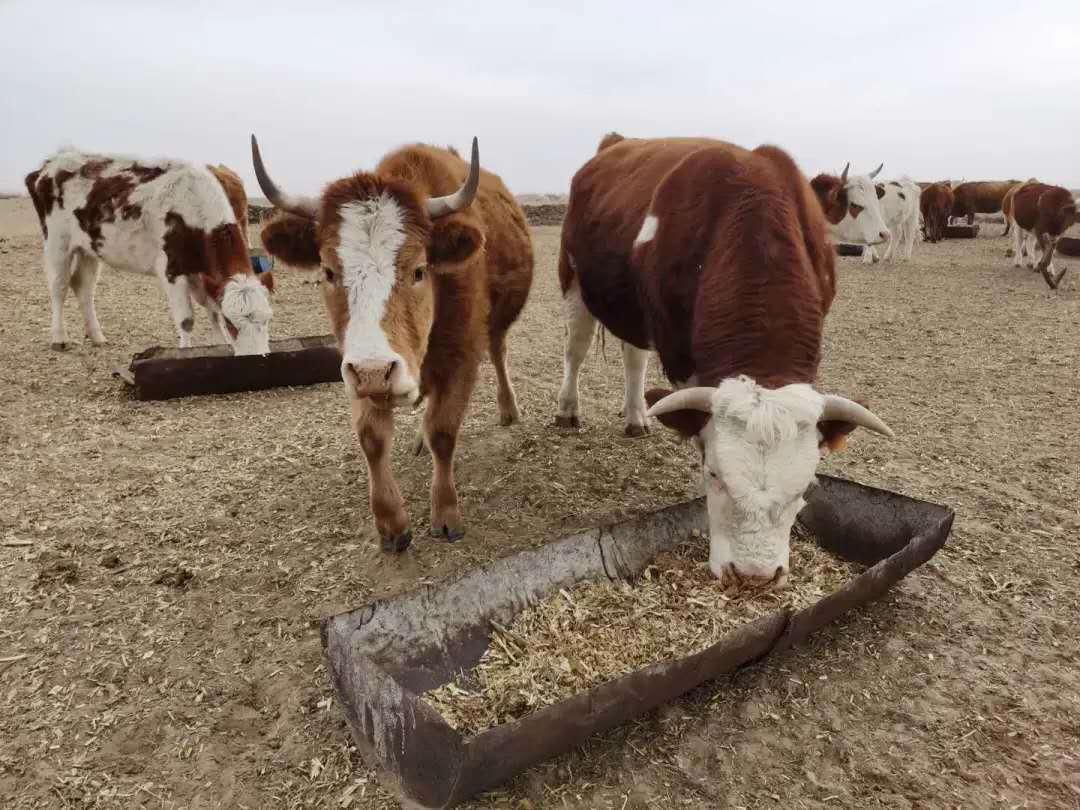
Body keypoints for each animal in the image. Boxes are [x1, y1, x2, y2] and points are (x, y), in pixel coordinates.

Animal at [24, 151, 272, 354]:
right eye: (233, 324)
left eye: (267, 320)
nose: (256, 356)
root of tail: (48, 165)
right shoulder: (171, 270)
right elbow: (187, 320)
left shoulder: (201, 273)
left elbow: (212, 311)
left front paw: (220, 345)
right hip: (57, 243)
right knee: (59, 287)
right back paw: (59, 338)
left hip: (88, 248)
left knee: (83, 287)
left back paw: (97, 336)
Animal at [257, 136, 535, 552]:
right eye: (328, 271)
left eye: (419, 270)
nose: (375, 372)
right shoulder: (358, 369)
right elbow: (372, 438)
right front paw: (391, 523)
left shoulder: (461, 357)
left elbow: (443, 431)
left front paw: (446, 514)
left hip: (498, 322)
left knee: (498, 352)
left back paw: (508, 409)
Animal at [557, 136, 894, 587]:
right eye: (713, 474)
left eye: (807, 486)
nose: (755, 576)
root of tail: (615, 142)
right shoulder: (681, 356)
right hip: (575, 279)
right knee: (575, 349)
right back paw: (567, 410)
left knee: (634, 356)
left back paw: (636, 417)